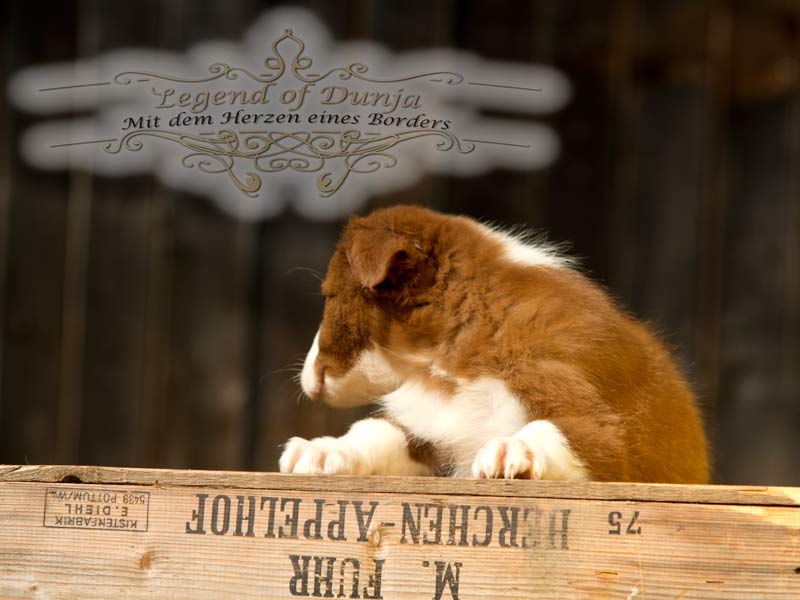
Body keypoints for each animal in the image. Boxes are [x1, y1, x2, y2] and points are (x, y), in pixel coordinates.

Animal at [278, 206, 708, 482]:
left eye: (329, 296)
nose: (306, 377)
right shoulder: (432, 425)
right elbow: (379, 431)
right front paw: (323, 449)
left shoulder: (607, 431)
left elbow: (553, 429)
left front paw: (514, 448)